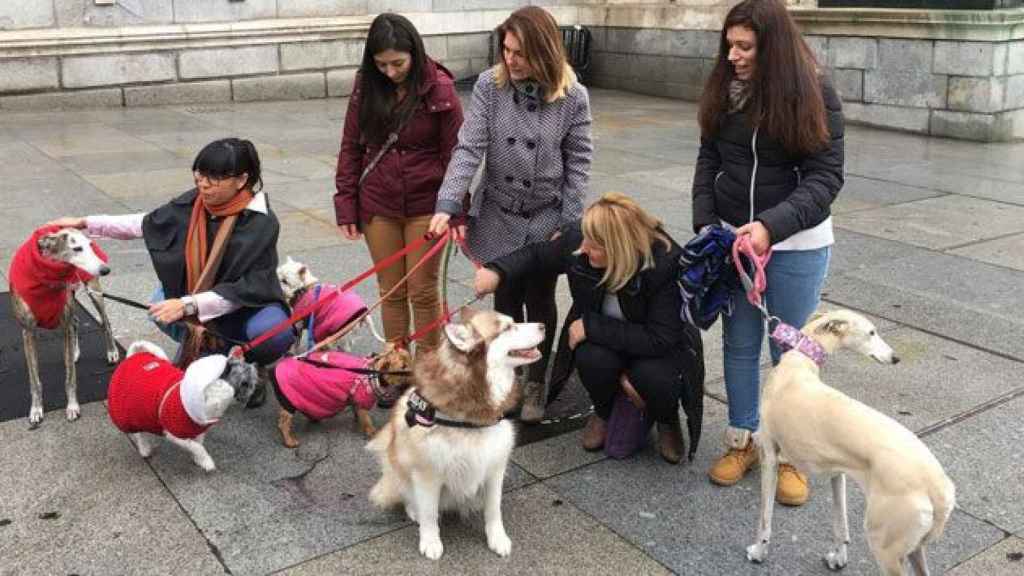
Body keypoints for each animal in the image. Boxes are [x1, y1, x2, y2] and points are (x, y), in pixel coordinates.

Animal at [7, 226, 118, 424]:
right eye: (77, 248)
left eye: (90, 245)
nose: (106, 269)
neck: (47, 278)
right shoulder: (28, 332)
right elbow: (34, 379)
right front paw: (36, 409)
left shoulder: (64, 323)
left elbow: (70, 376)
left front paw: (72, 406)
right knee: (76, 323)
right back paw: (74, 351)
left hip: (93, 291)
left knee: (105, 321)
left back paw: (112, 352)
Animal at [107, 340, 258, 471]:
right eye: (247, 383)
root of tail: (133, 356)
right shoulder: (174, 433)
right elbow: (196, 446)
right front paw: (207, 461)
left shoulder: (198, 428)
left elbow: (198, 443)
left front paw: (200, 460)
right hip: (126, 412)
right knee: (139, 434)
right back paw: (145, 449)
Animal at [366, 309, 544, 557]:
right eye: (507, 327)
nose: (544, 325)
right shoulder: (427, 474)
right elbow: (429, 513)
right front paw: (430, 541)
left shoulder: (494, 468)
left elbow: (494, 509)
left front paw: (497, 538)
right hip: (397, 467)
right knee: (407, 496)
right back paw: (414, 511)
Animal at [749, 309, 954, 573]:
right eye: (871, 332)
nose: (895, 357)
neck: (798, 364)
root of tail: (939, 491)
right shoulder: (838, 473)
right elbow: (841, 525)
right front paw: (839, 558)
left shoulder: (769, 455)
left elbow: (765, 518)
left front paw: (758, 551)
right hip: (914, 548)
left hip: (885, 547)